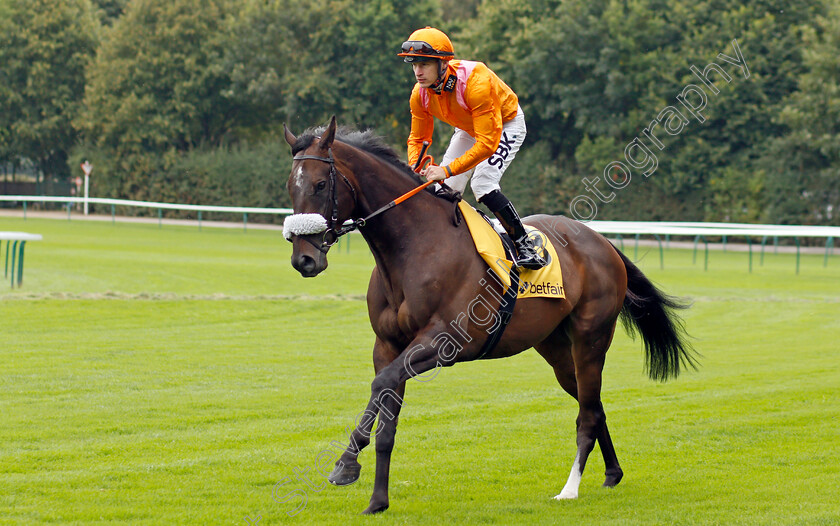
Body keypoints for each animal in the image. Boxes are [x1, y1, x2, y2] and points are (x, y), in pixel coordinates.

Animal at [282, 118, 696, 516]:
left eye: (320, 184)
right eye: (290, 186)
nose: (304, 259)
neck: (415, 246)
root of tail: (602, 241)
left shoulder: (443, 343)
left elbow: (382, 387)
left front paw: (347, 465)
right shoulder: (387, 346)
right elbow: (387, 417)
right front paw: (374, 496)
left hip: (591, 339)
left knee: (588, 413)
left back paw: (569, 490)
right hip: (556, 348)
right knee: (591, 403)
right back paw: (612, 473)